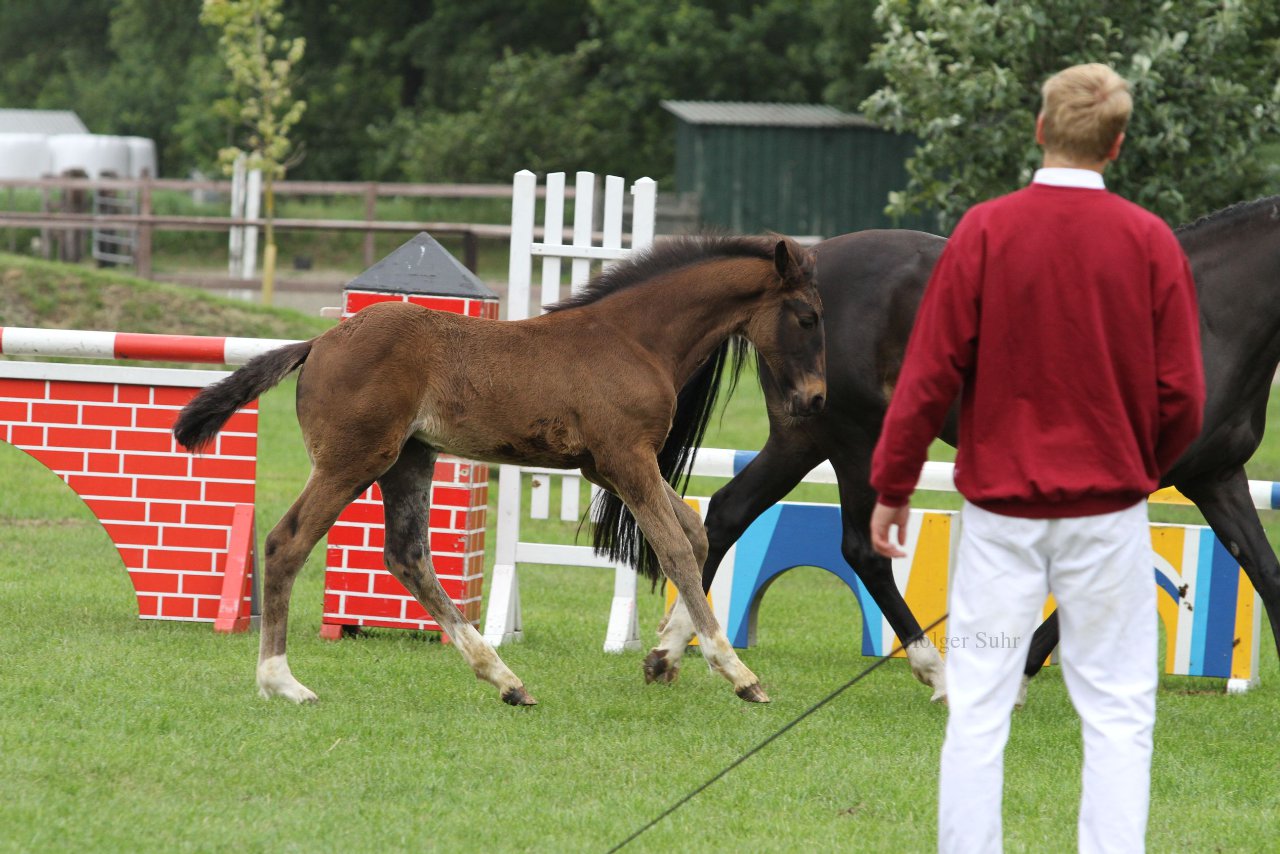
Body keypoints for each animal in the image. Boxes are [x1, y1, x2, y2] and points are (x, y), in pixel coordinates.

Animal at [175, 235, 824, 706]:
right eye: (808, 317)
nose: (816, 400)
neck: (634, 341)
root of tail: (319, 341)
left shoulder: (609, 469)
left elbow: (695, 535)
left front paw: (663, 657)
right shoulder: (628, 460)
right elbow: (676, 549)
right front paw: (738, 673)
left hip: (409, 459)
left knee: (407, 555)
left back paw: (506, 679)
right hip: (353, 461)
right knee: (287, 542)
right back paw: (281, 682)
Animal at [624, 198, 1280, 701]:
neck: (1205, 316)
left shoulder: (1217, 478)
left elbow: (1266, 573)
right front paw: (1015, 677)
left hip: (803, 436)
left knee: (727, 512)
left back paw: (672, 653)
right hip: (858, 440)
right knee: (861, 552)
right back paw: (935, 673)